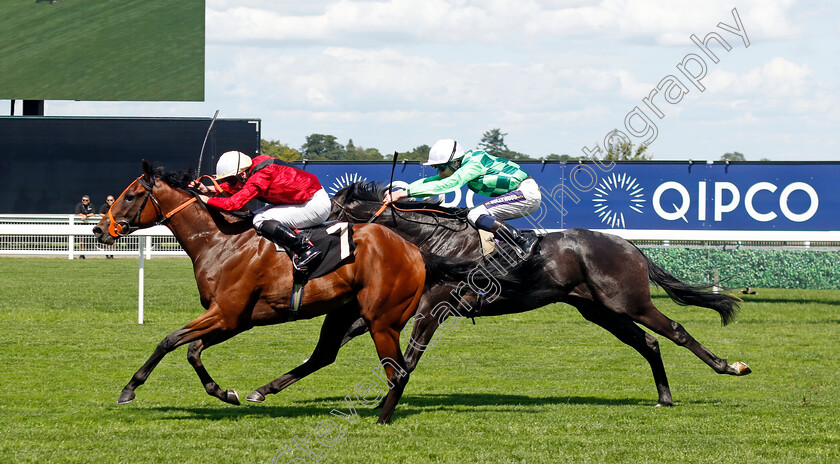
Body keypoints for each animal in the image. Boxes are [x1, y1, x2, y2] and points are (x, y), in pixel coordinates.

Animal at [94, 163, 470, 424]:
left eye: (130, 195)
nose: (99, 229)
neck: (219, 242)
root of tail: (416, 251)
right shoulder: (234, 320)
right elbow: (193, 351)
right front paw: (225, 393)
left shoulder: (225, 313)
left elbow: (169, 340)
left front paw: (129, 389)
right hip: (344, 311)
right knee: (326, 356)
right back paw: (263, 390)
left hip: (383, 321)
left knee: (399, 371)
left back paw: (381, 419)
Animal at [280, 183, 748, 408]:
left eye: (331, 213)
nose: (299, 241)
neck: (430, 243)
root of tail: (629, 245)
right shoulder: (389, 311)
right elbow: (329, 349)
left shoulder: (432, 311)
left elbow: (406, 361)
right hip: (598, 310)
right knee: (648, 342)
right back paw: (664, 396)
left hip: (628, 301)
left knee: (676, 330)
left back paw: (729, 366)